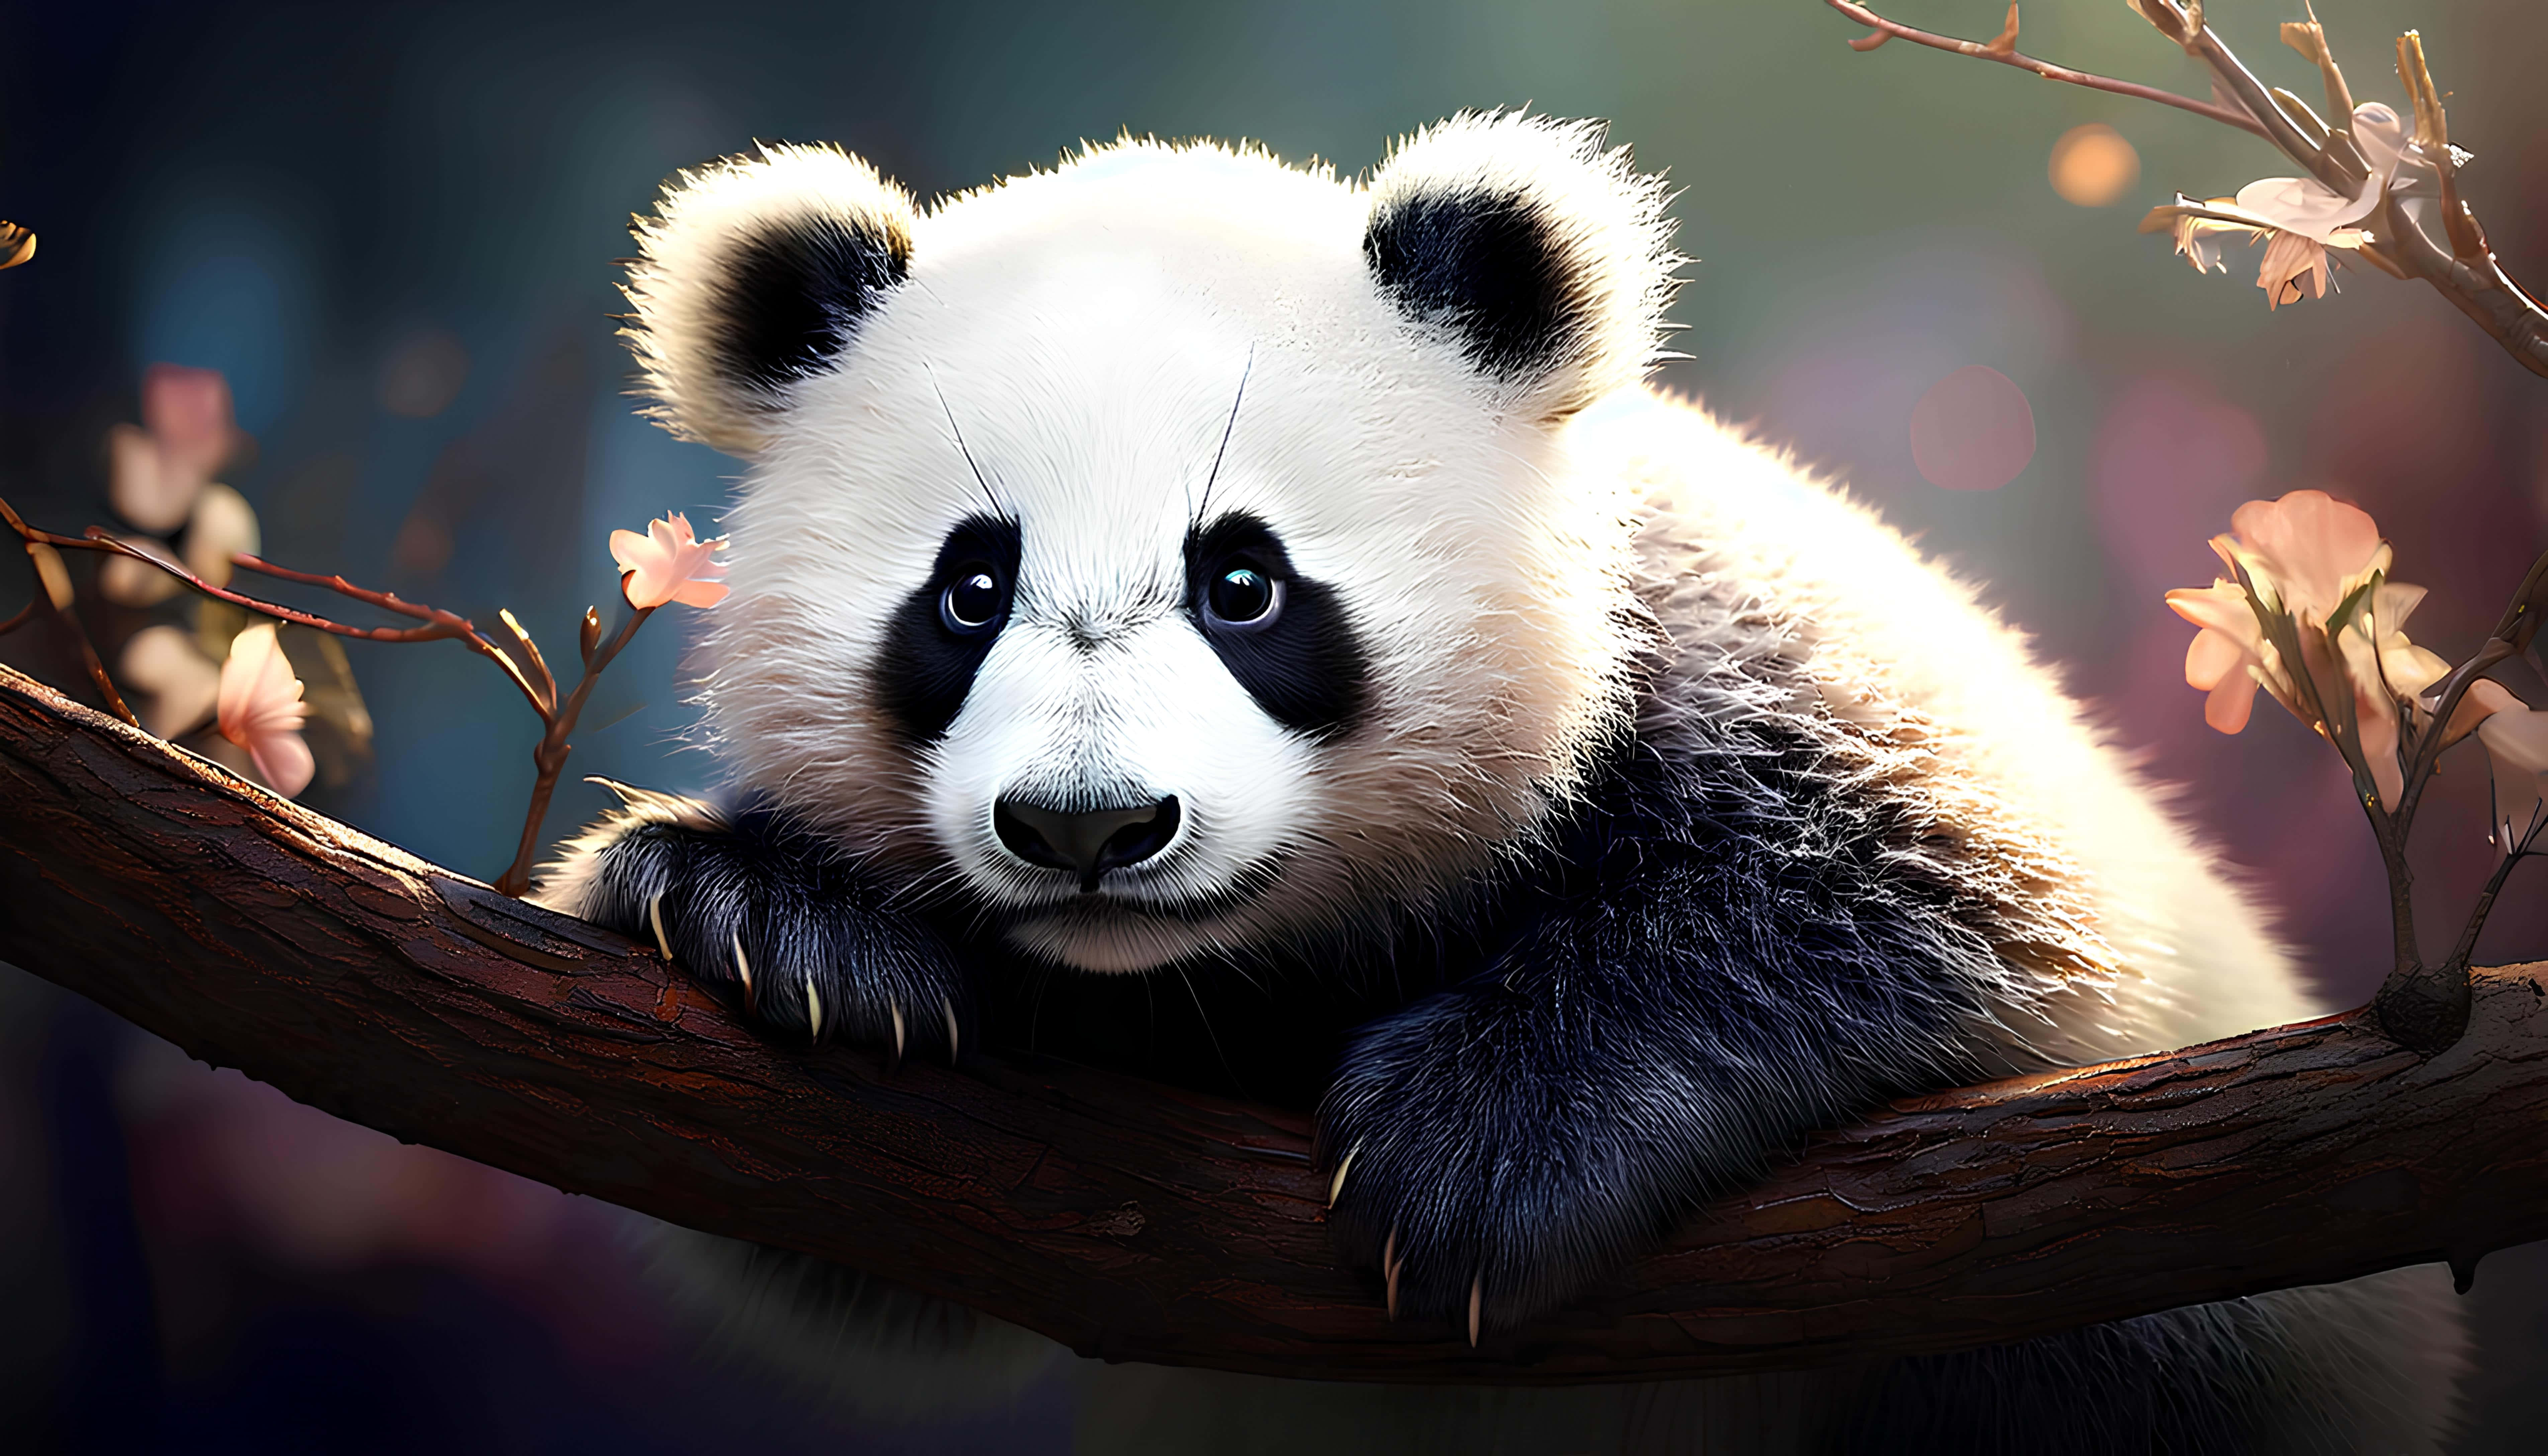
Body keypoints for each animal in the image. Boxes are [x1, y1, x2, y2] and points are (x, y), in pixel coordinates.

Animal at [536, 114, 2466, 1452]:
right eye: (968, 587)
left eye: (1244, 581)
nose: (1090, 830)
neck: (1246, 972)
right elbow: (875, 1270)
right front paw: (771, 915)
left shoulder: (1733, 646)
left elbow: (1944, 887)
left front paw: (1481, 1139)